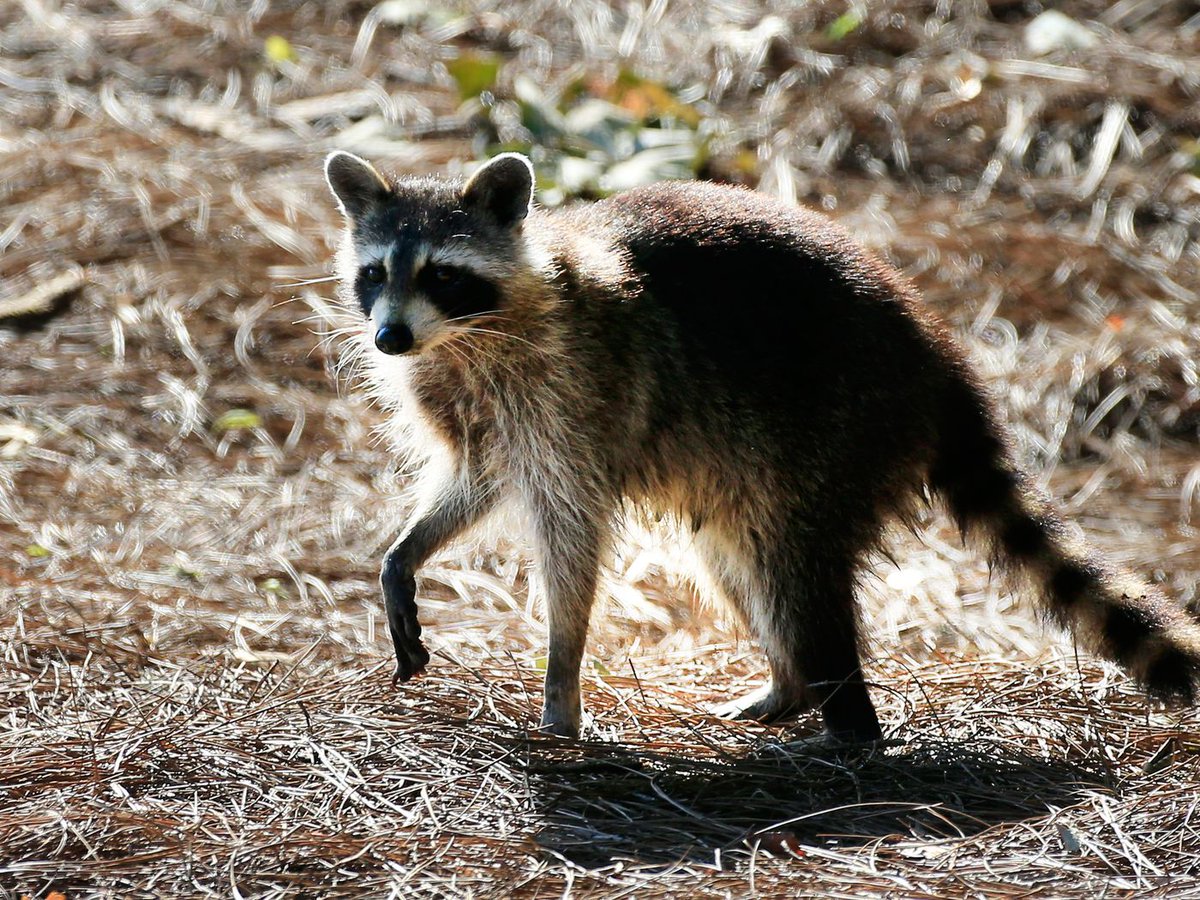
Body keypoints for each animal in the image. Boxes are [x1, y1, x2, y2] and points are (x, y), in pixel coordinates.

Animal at [323, 150, 1200, 740]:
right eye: (374, 273)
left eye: (443, 274)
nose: (389, 337)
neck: (464, 337)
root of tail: (938, 360)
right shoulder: (471, 404)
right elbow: (476, 479)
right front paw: (406, 552)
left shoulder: (572, 395)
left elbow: (571, 540)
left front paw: (562, 676)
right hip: (749, 467)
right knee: (738, 560)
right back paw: (790, 685)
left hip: (839, 428)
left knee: (795, 571)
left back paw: (847, 720)